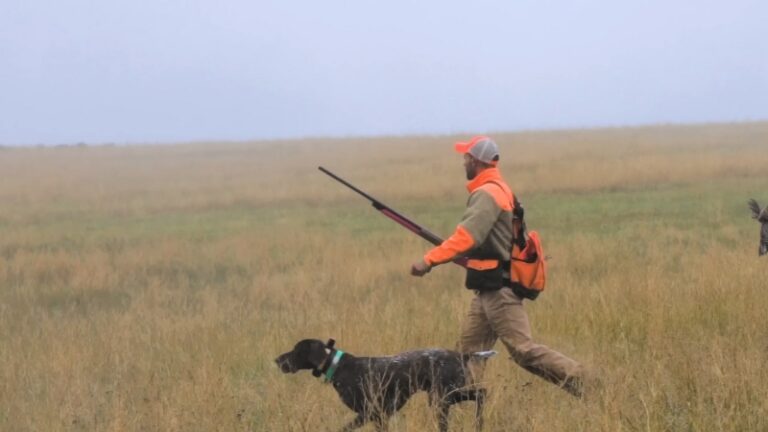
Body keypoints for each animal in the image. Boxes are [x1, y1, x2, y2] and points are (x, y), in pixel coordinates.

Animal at [276, 340, 498, 430]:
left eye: (296, 350)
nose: (277, 360)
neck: (338, 366)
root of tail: (462, 355)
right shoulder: (379, 417)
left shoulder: (370, 413)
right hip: (446, 396)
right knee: (481, 393)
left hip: (443, 398)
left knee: (480, 394)